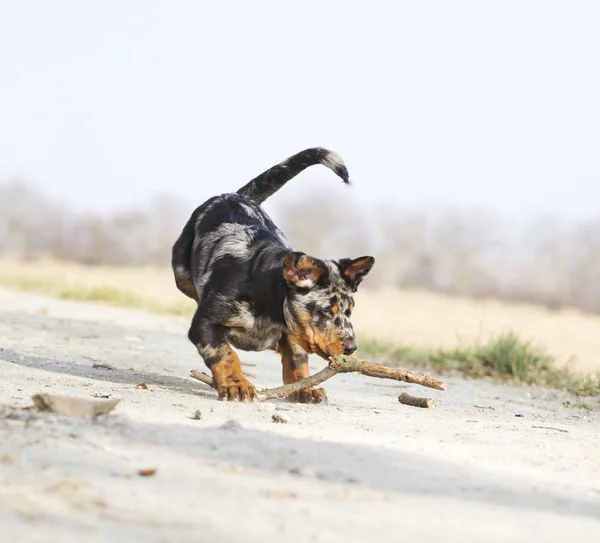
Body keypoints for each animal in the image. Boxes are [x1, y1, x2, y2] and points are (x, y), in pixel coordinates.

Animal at [171, 149, 372, 404]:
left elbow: (297, 361)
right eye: (327, 310)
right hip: (181, 272)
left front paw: (305, 389)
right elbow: (225, 353)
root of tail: (234, 195)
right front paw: (236, 385)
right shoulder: (203, 324)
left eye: (350, 312)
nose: (351, 348)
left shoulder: (294, 335)